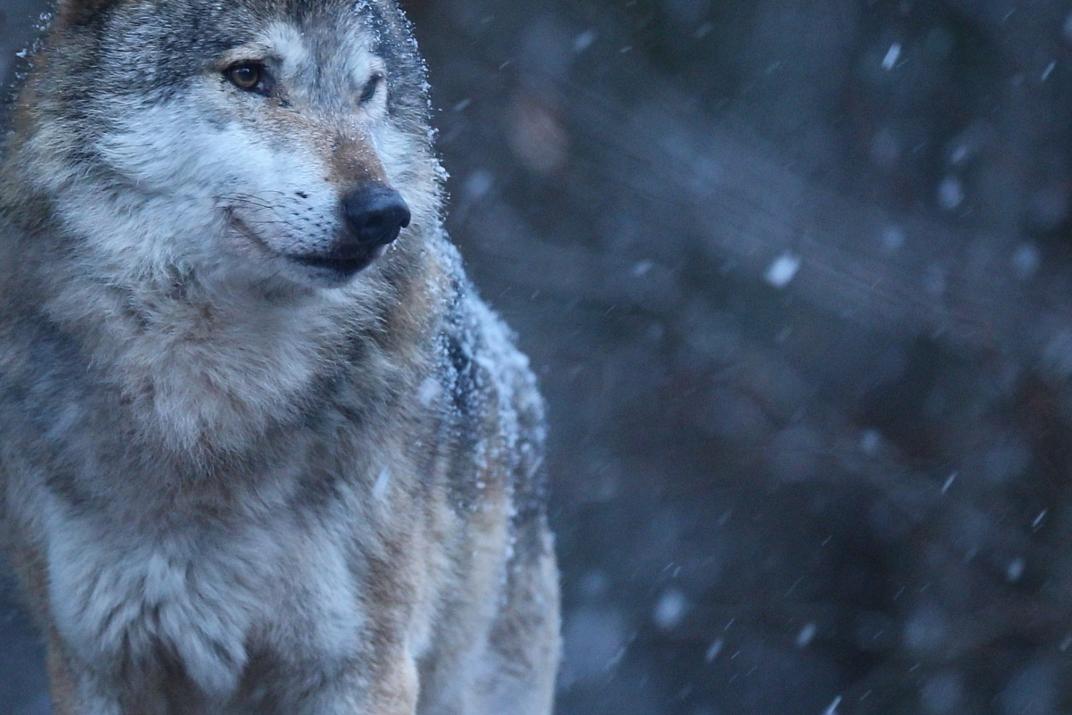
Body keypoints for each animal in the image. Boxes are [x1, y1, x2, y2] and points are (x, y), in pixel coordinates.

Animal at [0, 0, 560, 713]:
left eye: (368, 89)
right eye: (248, 75)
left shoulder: (362, 668)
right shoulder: (94, 664)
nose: (385, 213)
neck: (211, 410)